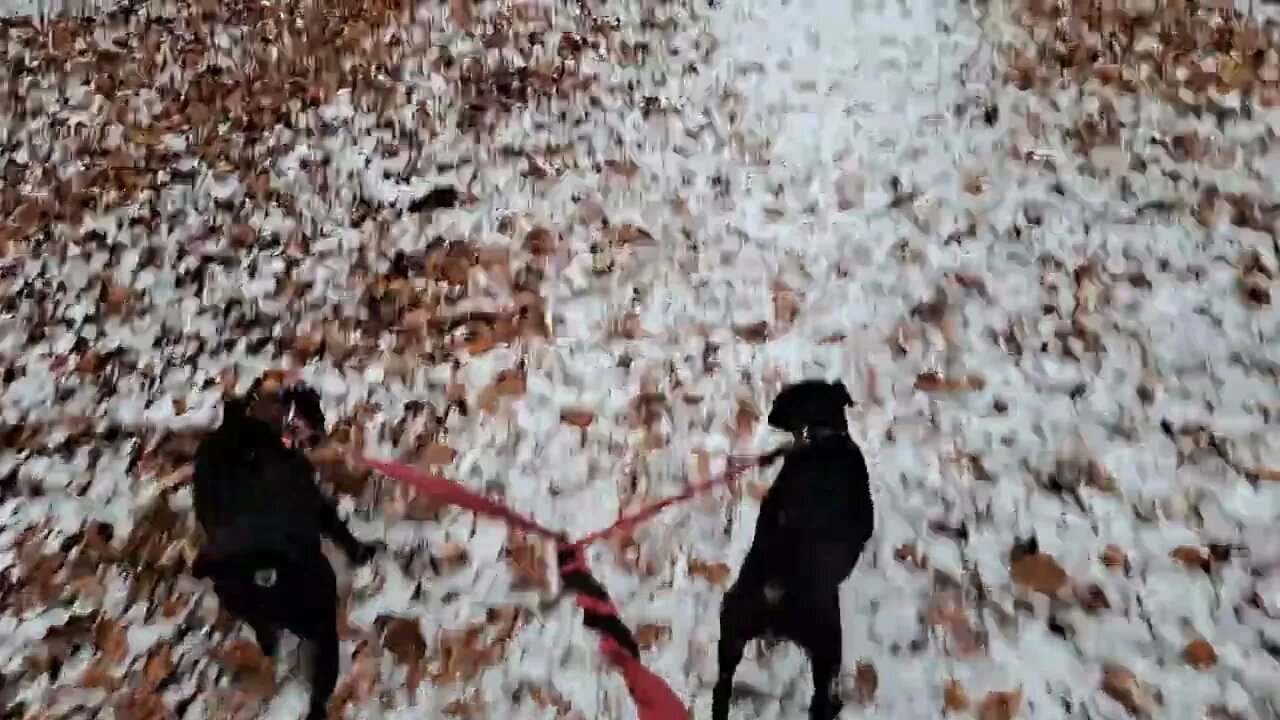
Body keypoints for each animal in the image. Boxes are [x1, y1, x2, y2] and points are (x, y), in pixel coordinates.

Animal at [189, 379, 376, 712]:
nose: (321, 433)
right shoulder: (319, 508)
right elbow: (341, 532)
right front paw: (362, 554)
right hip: (320, 619)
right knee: (319, 690)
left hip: (255, 614)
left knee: (269, 643)